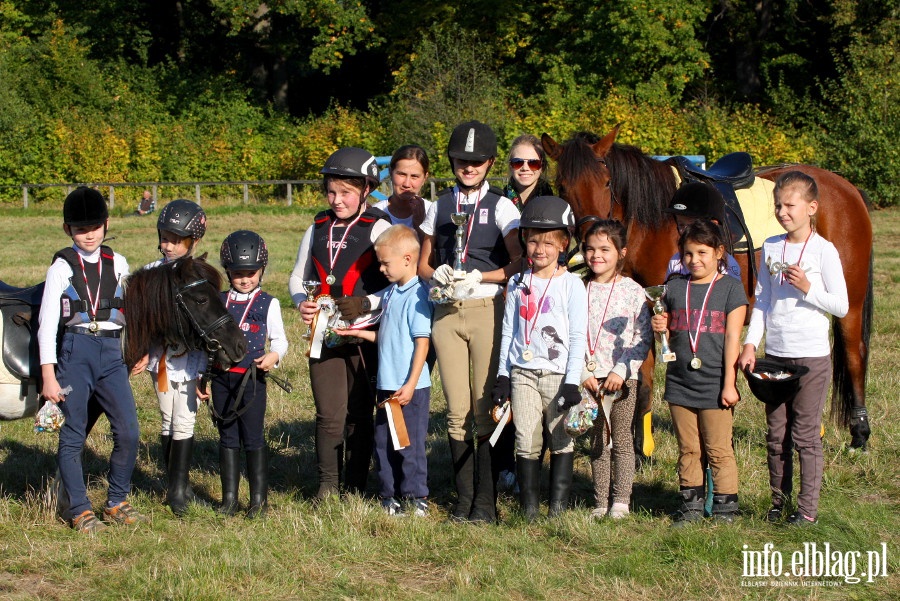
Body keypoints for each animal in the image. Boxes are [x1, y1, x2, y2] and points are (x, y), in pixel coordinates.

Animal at [544, 125, 876, 450]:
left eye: (607, 182)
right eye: (562, 187)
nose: (592, 245)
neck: (654, 225)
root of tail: (846, 188)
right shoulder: (645, 313)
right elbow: (644, 377)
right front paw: (640, 448)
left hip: (849, 300)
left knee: (853, 353)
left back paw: (859, 432)